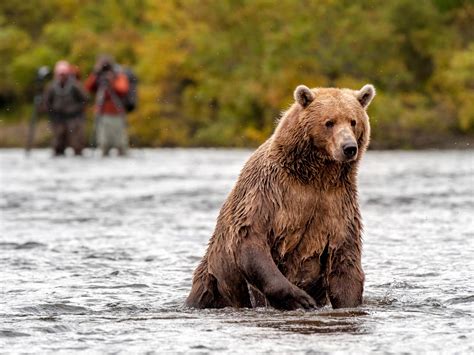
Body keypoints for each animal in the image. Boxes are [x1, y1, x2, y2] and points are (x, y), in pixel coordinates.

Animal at [184, 82, 374, 308]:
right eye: (329, 122)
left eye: (353, 121)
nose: (349, 148)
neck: (316, 175)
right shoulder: (270, 192)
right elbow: (249, 238)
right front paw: (300, 298)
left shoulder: (338, 204)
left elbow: (345, 260)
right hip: (214, 278)